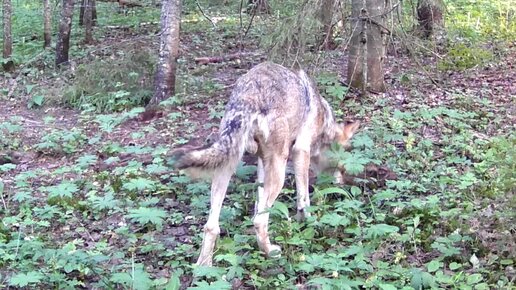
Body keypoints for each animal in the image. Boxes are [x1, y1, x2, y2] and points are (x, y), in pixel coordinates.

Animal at [173, 61, 358, 266]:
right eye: (343, 165)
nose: (341, 184)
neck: (322, 117)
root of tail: (249, 97)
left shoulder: (263, 162)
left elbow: (258, 202)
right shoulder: (300, 151)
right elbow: (303, 198)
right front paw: (307, 221)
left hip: (227, 166)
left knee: (212, 226)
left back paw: (204, 267)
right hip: (280, 170)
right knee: (259, 221)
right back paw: (271, 252)